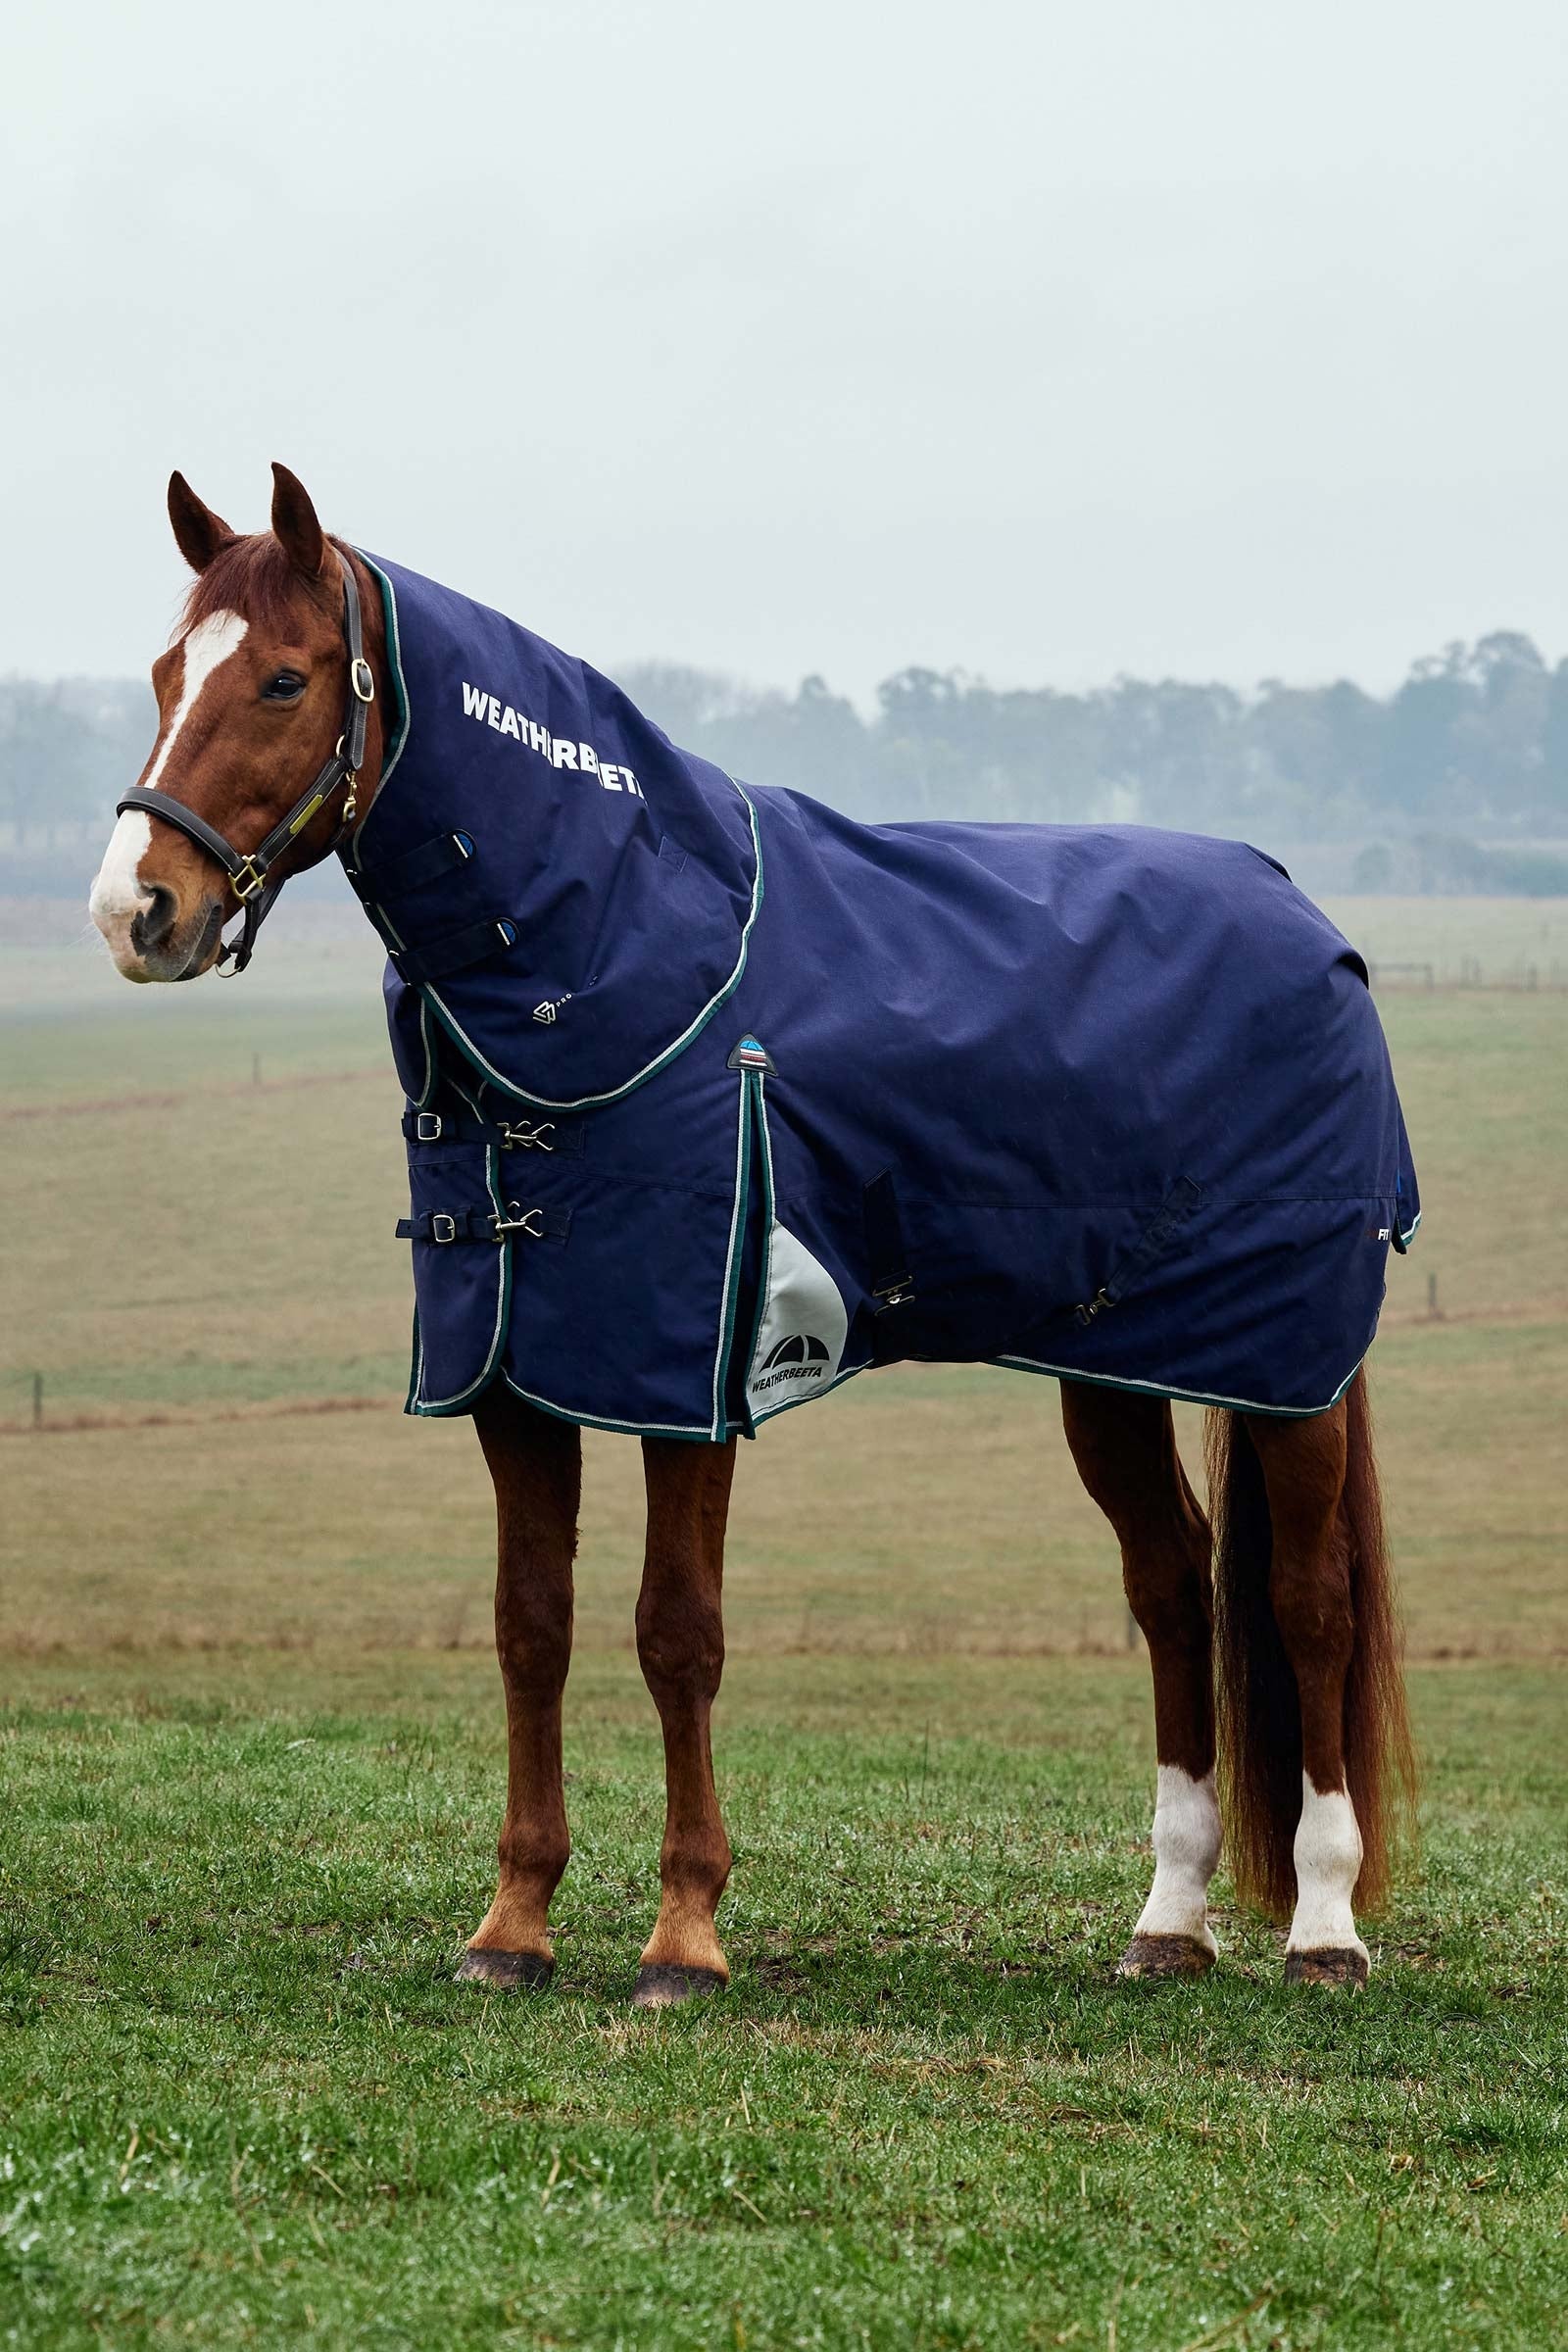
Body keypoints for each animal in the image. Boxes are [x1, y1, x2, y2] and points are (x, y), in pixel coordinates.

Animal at [89, 463, 1417, 2003]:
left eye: (286, 678)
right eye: (166, 673)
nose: (136, 911)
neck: (629, 947)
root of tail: (1306, 917)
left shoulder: (688, 1376)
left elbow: (678, 1634)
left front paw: (684, 1937)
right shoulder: (517, 1376)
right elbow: (530, 1628)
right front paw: (512, 1927)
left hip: (1288, 1372)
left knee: (1309, 1598)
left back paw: (1322, 1929)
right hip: (1115, 1368)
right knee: (1173, 1587)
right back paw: (1170, 1920)